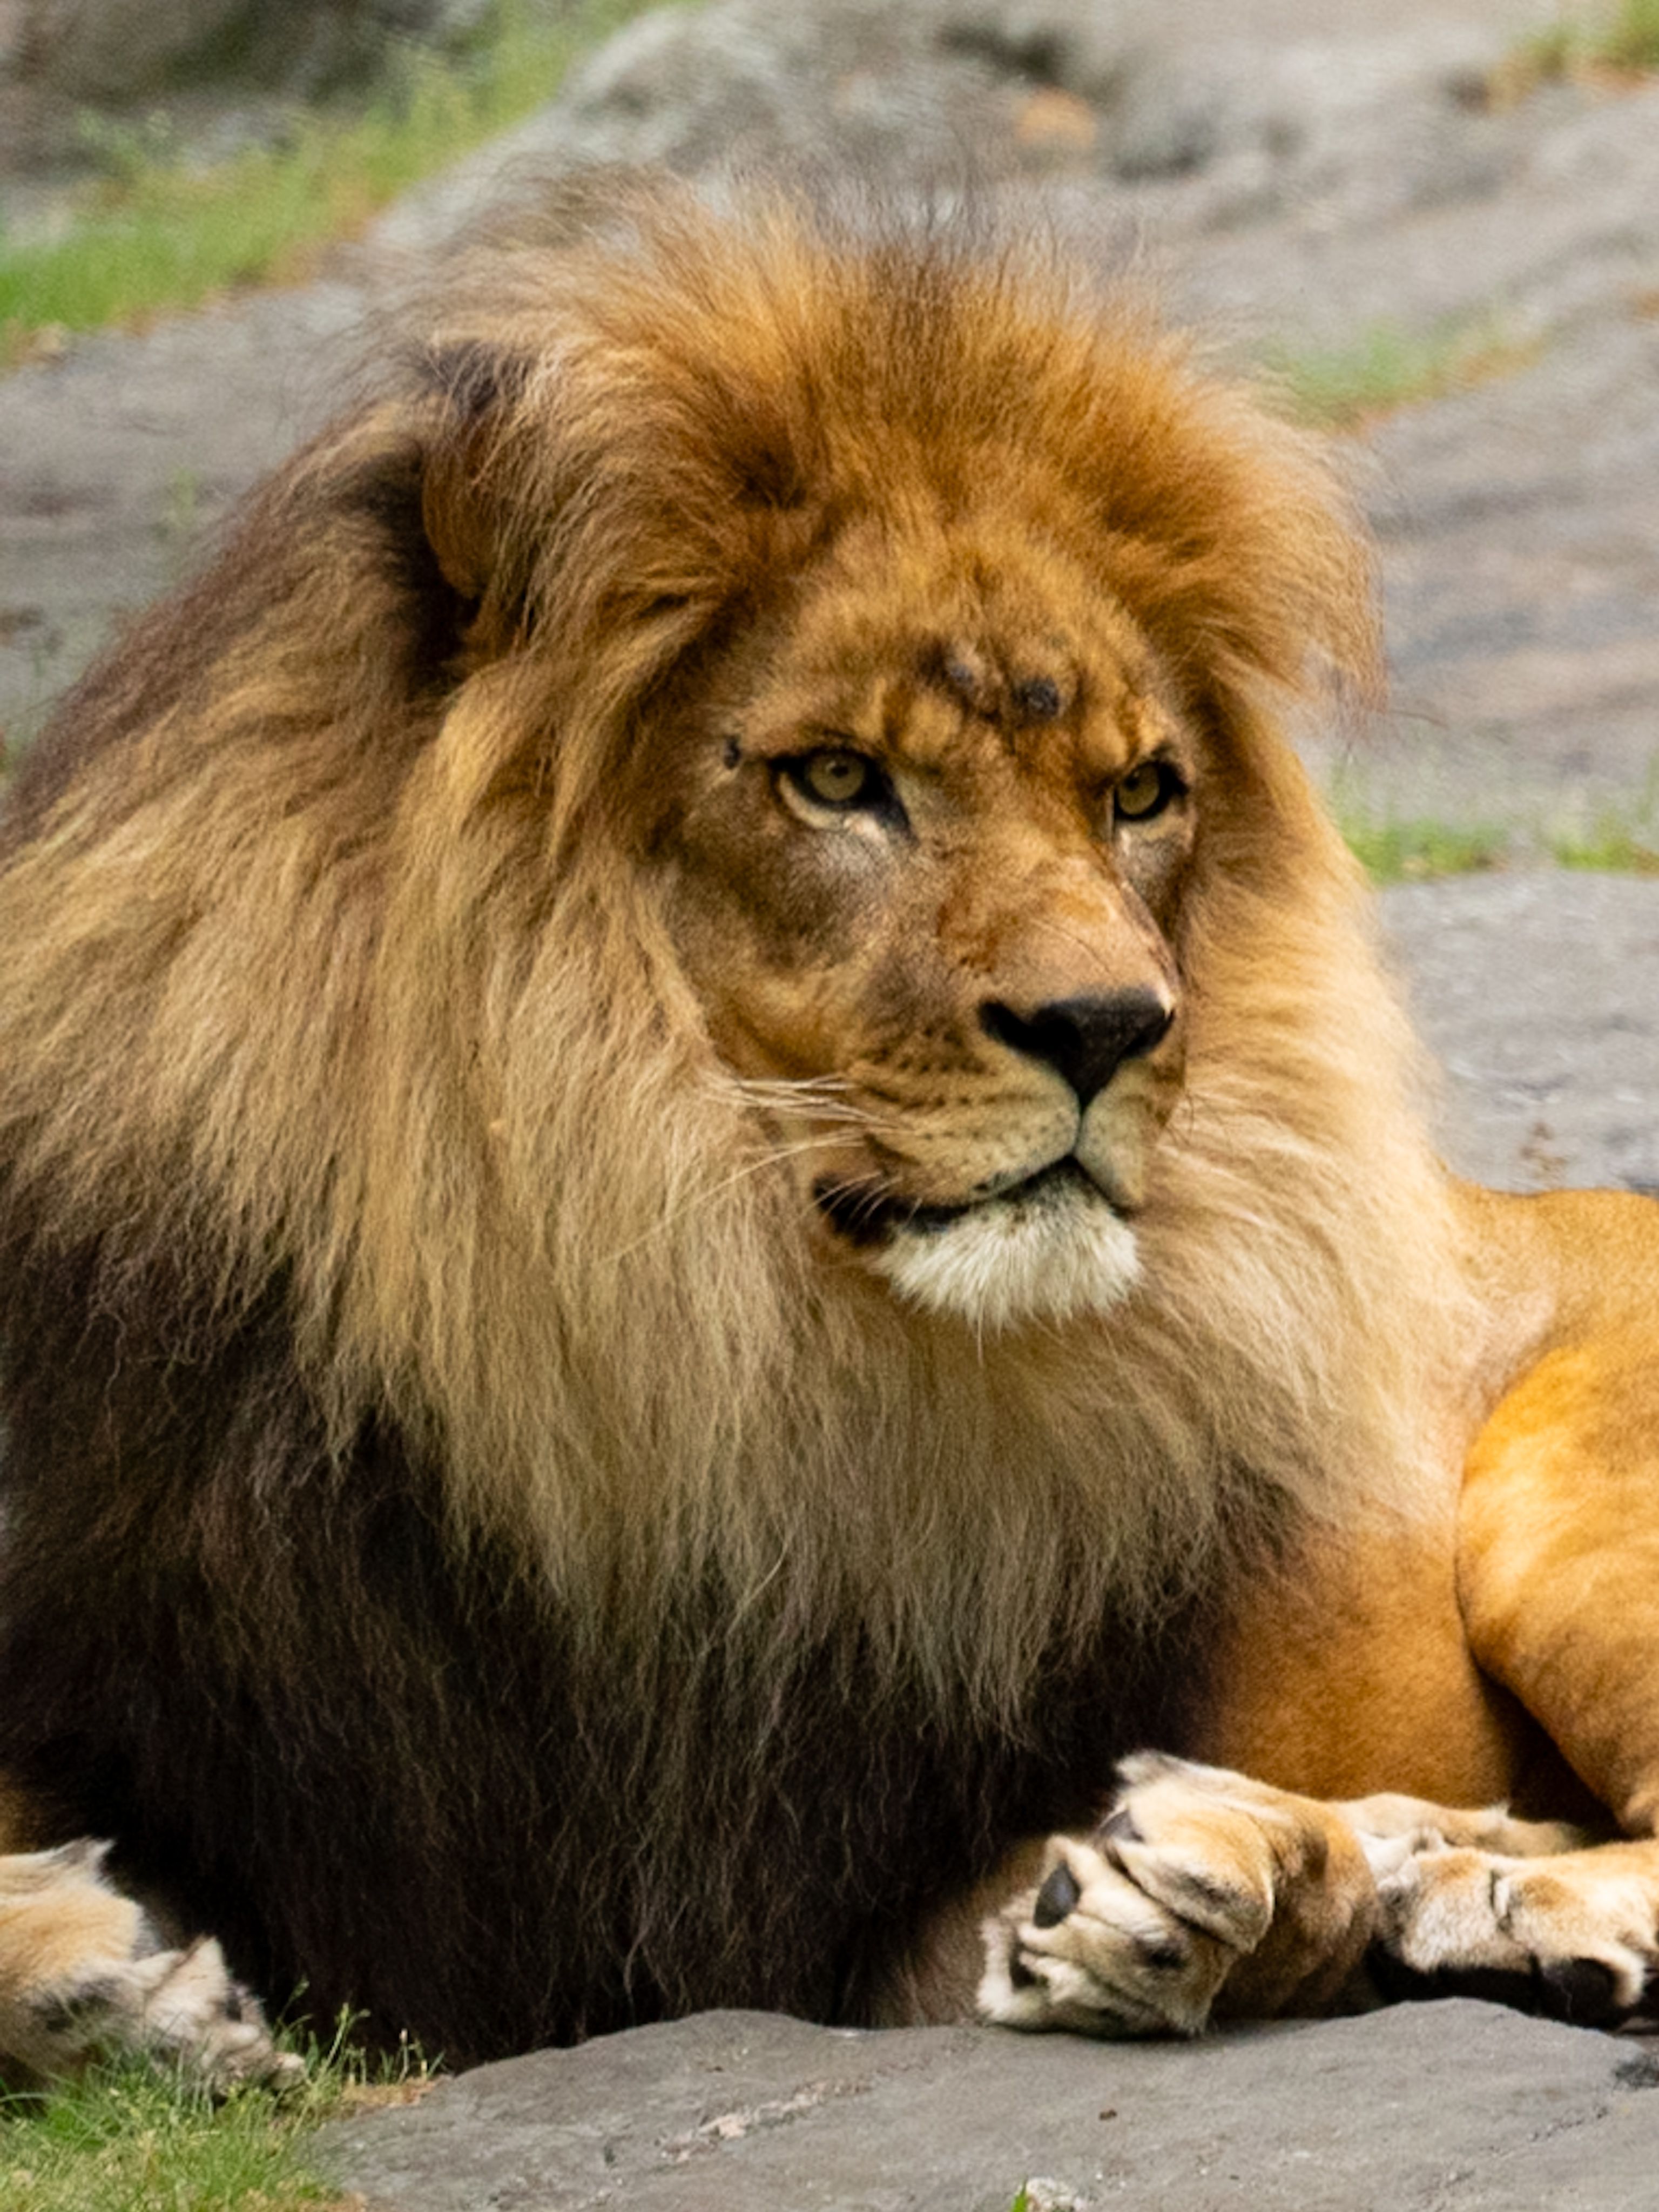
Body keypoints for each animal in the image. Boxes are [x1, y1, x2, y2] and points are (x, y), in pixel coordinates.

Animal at [0, 176, 1656, 2087]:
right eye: (840, 780)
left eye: (1139, 795)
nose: (1110, 1025)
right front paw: (109, 1974)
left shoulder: (805, 1906)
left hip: (1558, 1505)